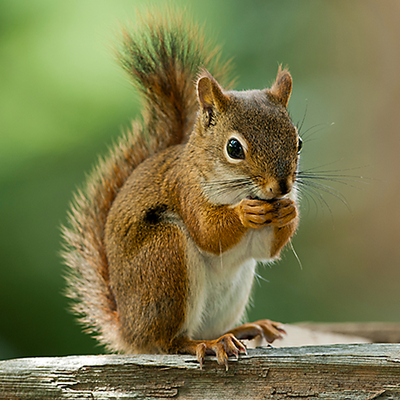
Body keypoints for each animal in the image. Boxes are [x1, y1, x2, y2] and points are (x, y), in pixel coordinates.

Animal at [61, 12, 300, 368]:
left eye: (298, 142)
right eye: (234, 148)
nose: (281, 186)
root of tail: (129, 331)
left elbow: (265, 250)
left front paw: (289, 210)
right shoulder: (185, 190)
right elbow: (208, 232)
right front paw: (244, 212)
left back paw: (243, 330)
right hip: (165, 257)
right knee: (170, 342)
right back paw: (208, 344)